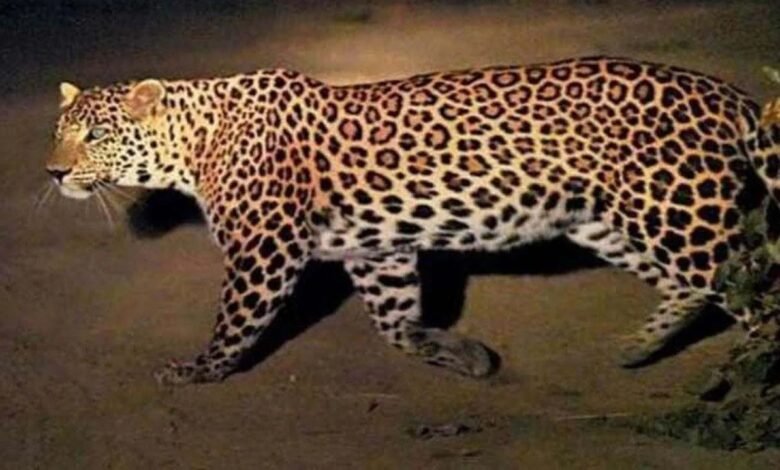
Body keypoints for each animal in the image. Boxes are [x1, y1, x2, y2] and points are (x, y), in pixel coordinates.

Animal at [46, 56, 780, 386]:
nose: (52, 172)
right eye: (59, 131)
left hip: (675, 211)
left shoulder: (266, 248)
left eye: (95, 135)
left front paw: (199, 370)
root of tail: (723, 91)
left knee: (750, 286)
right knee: (693, 286)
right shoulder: (378, 250)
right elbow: (393, 322)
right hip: (609, 219)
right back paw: (637, 347)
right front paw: (456, 353)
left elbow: (237, 320)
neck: (192, 143)